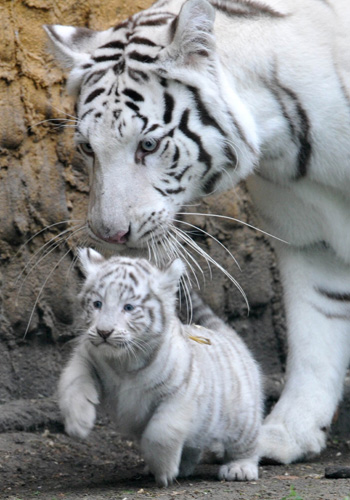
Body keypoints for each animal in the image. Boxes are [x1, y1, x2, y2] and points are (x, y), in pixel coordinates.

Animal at [45, 0, 350, 462]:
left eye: (148, 145)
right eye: (87, 148)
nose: (108, 234)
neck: (291, 142)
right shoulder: (309, 237)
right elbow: (316, 335)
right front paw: (286, 433)